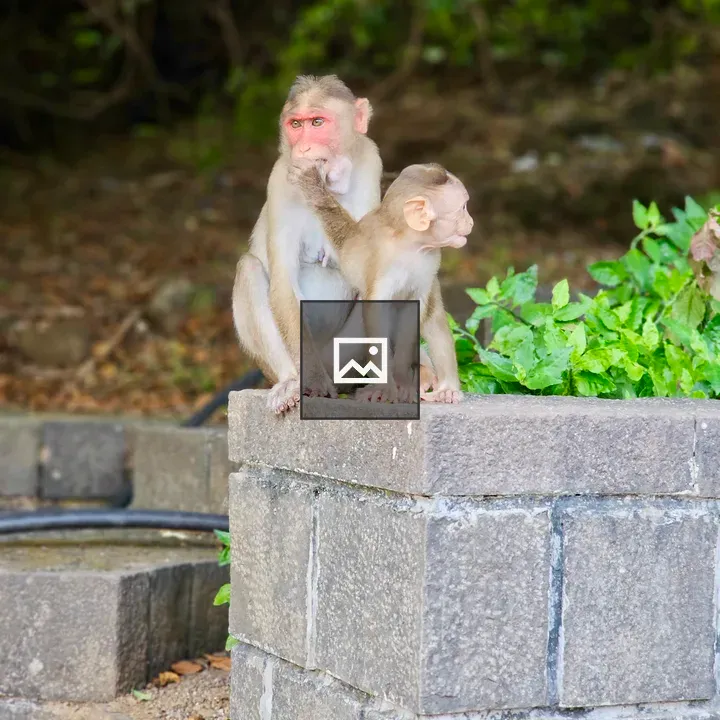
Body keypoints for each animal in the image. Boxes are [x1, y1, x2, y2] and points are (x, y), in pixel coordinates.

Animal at [289, 161, 473, 404]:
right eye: (463, 208)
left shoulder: (431, 262)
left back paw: (441, 385)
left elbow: (415, 310)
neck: (410, 245)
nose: (470, 221)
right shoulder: (381, 258)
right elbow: (375, 311)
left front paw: (403, 383)